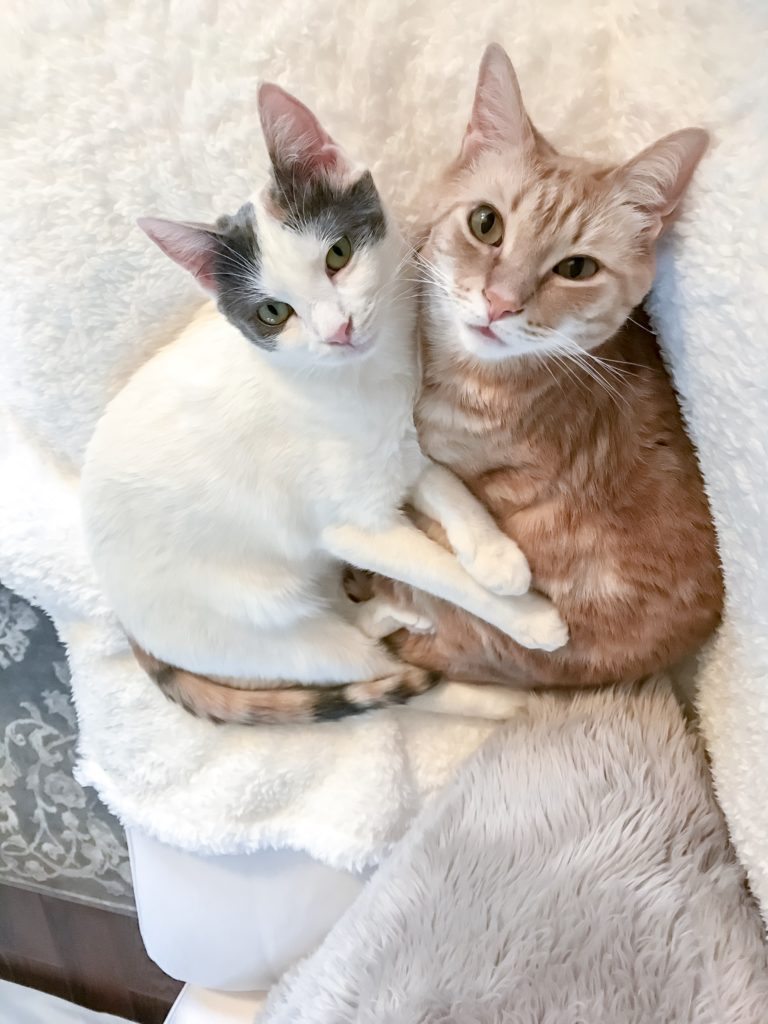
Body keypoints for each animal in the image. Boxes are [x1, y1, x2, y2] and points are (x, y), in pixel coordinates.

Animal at [81, 83, 569, 724]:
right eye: (272, 312)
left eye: (338, 255)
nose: (338, 329)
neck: (361, 379)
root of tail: (123, 617)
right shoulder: (352, 525)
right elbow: (440, 573)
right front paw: (526, 614)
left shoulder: (403, 439)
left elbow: (442, 482)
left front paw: (492, 554)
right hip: (273, 634)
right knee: (379, 672)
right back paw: (497, 701)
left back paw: (383, 611)